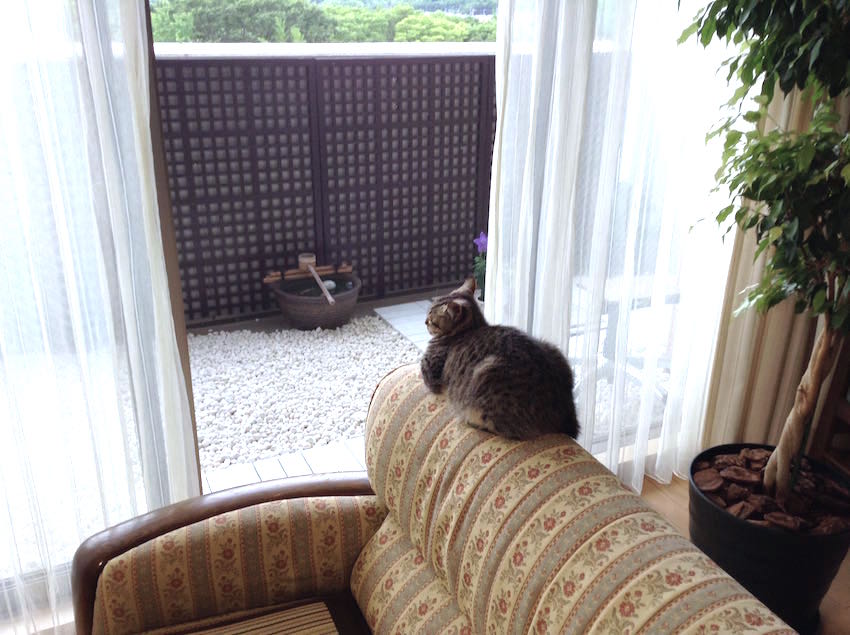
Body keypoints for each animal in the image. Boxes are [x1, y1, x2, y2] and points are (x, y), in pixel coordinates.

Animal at [420, 278, 580, 440]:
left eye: (432, 319)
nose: (425, 321)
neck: (471, 328)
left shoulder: (430, 370)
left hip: (487, 375)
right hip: (554, 350)